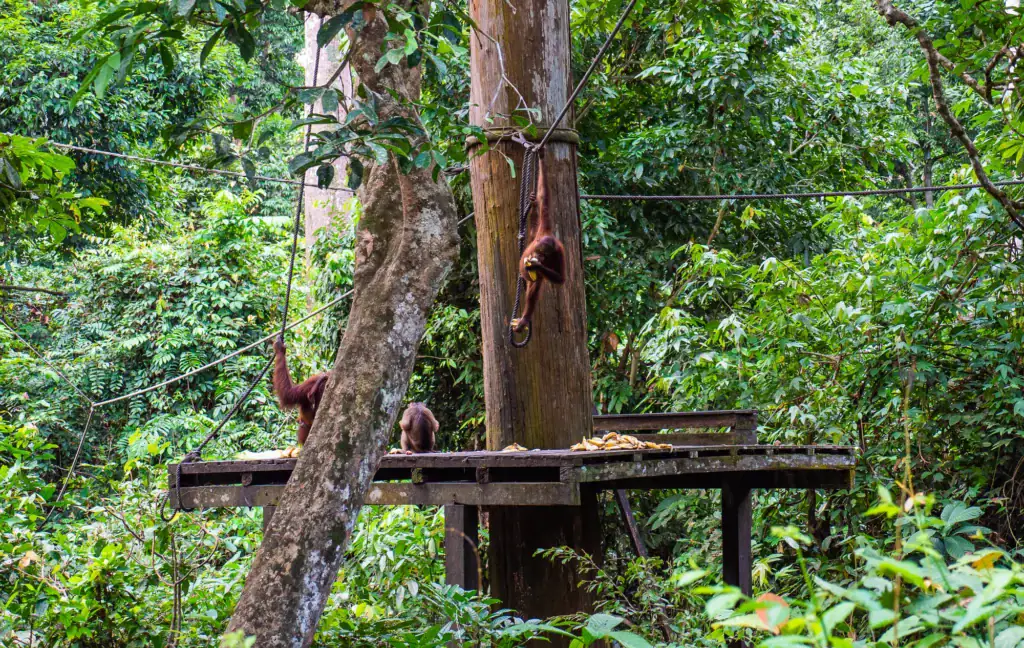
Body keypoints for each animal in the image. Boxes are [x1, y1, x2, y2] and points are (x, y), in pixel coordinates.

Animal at [511, 149, 565, 334]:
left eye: (545, 256)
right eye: (540, 252)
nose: (539, 258)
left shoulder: (559, 254)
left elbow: (560, 278)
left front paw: (537, 265)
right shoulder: (544, 225)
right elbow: (545, 196)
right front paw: (541, 156)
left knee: (535, 285)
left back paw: (524, 320)